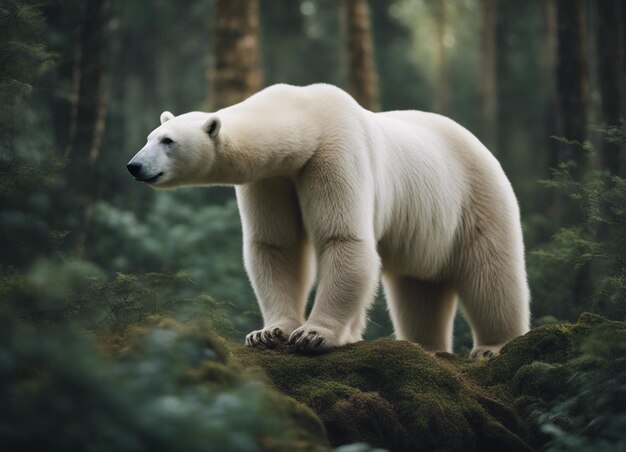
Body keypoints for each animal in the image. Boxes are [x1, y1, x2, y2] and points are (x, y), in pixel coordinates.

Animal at [127, 83, 528, 358]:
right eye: (149, 136)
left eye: (168, 140)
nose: (134, 165)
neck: (305, 115)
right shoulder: (273, 178)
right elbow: (276, 246)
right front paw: (268, 333)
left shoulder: (333, 154)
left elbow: (343, 238)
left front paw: (314, 334)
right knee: (419, 286)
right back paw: (425, 346)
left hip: (475, 196)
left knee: (490, 273)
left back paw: (493, 346)